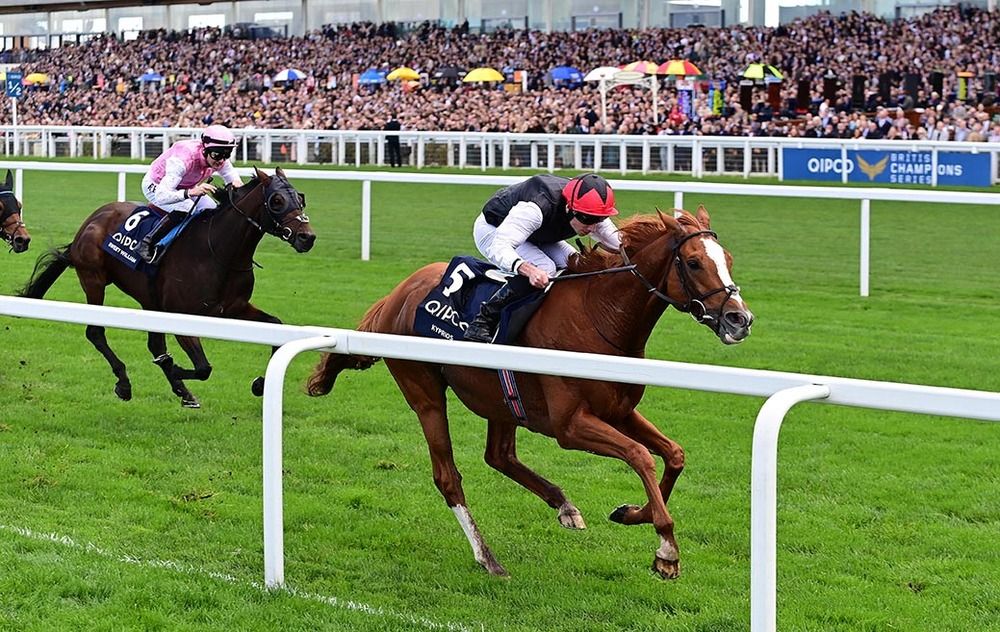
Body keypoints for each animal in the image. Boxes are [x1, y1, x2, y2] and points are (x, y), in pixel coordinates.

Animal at [20, 165, 316, 408]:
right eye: (276, 201)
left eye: (300, 198)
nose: (307, 237)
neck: (219, 251)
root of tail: (92, 219)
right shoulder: (182, 314)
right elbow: (203, 367)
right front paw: (173, 367)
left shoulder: (234, 308)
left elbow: (275, 328)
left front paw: (259, 384)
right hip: (93, 278)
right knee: (96, 332)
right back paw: (125, 383)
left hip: (150, 300)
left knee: (153, 344)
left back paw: (182, 391)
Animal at [308, 206, 752, 576]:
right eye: (693, 262)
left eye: (729, 260)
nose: (740, 319)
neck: (598, 318)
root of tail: (396, 293)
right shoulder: (569, 427)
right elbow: (641, 456)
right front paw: (666, 549)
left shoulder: (619, 411)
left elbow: (674, 454)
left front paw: (631, 513)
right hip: (425, 392)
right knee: (448, 476)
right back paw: (488, 558)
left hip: (501, 400)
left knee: (499, 456)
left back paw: (564, 506)